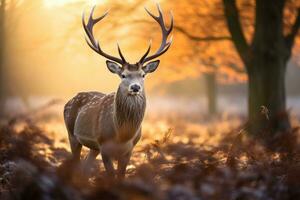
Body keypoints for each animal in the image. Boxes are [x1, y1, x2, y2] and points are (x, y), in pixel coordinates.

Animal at [63, 3, 173, 178]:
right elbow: (111, 176)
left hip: (93, 147)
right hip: (72, 134)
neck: (122, 135)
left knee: (86, 167)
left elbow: (120, 177)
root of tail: (70, 100)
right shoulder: (104, 146)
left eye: (143, 75)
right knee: (76, 163)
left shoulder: (129, 149)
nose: (135, 87)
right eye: (123, 75)